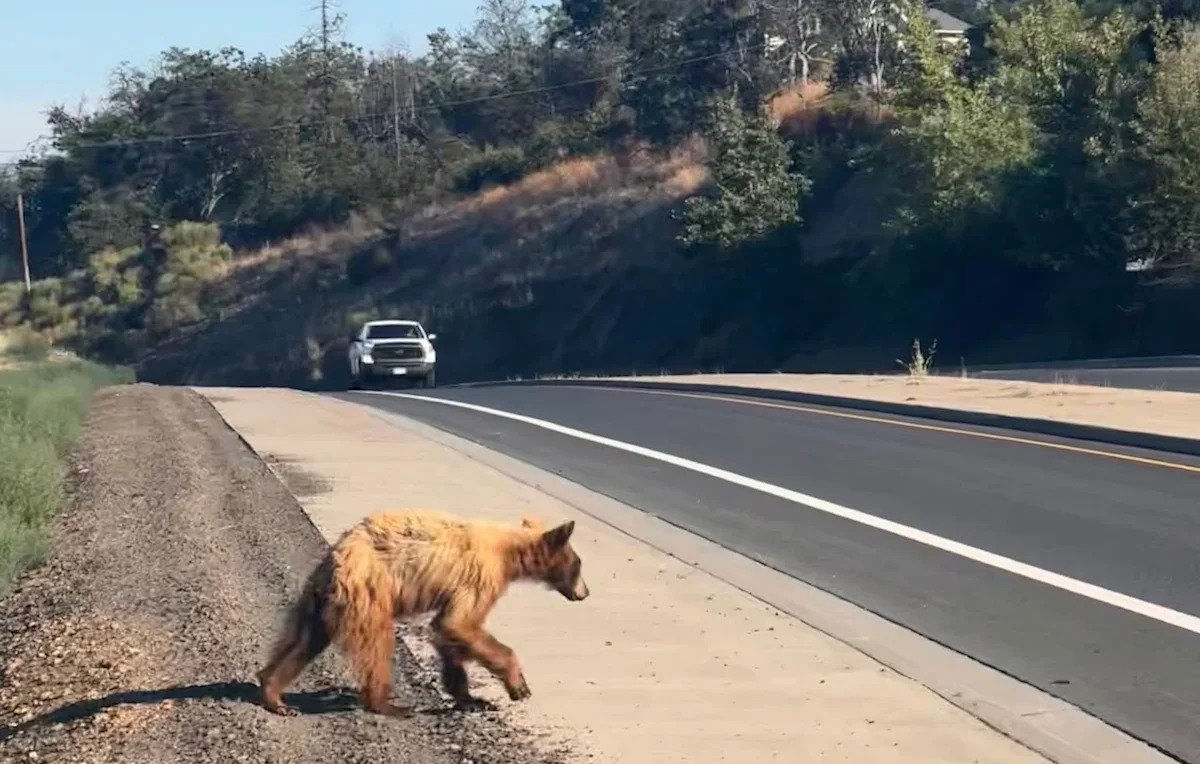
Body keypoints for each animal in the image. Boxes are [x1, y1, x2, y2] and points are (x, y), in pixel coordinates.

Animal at [256, 509, 590, 717]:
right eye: (578, 564)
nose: (584, 592)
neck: (509, 553)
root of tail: (336, 558)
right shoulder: (480, 577)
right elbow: (460, 624)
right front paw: (519, 686)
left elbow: (448, 633)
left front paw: (471, 699)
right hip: (369, 594)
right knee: (376, 646)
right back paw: (389, 705)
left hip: (319, 601)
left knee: (303, 642)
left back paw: (274, 693)